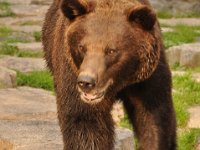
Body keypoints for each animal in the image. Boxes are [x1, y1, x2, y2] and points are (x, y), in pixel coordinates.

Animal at [42, 0, 177, 150]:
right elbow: (85, 122)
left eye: (111, 50)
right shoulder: (71, 72)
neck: (120, 81)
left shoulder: (146, 79)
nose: (86, 82)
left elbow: (154, 119)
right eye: (82, 47)